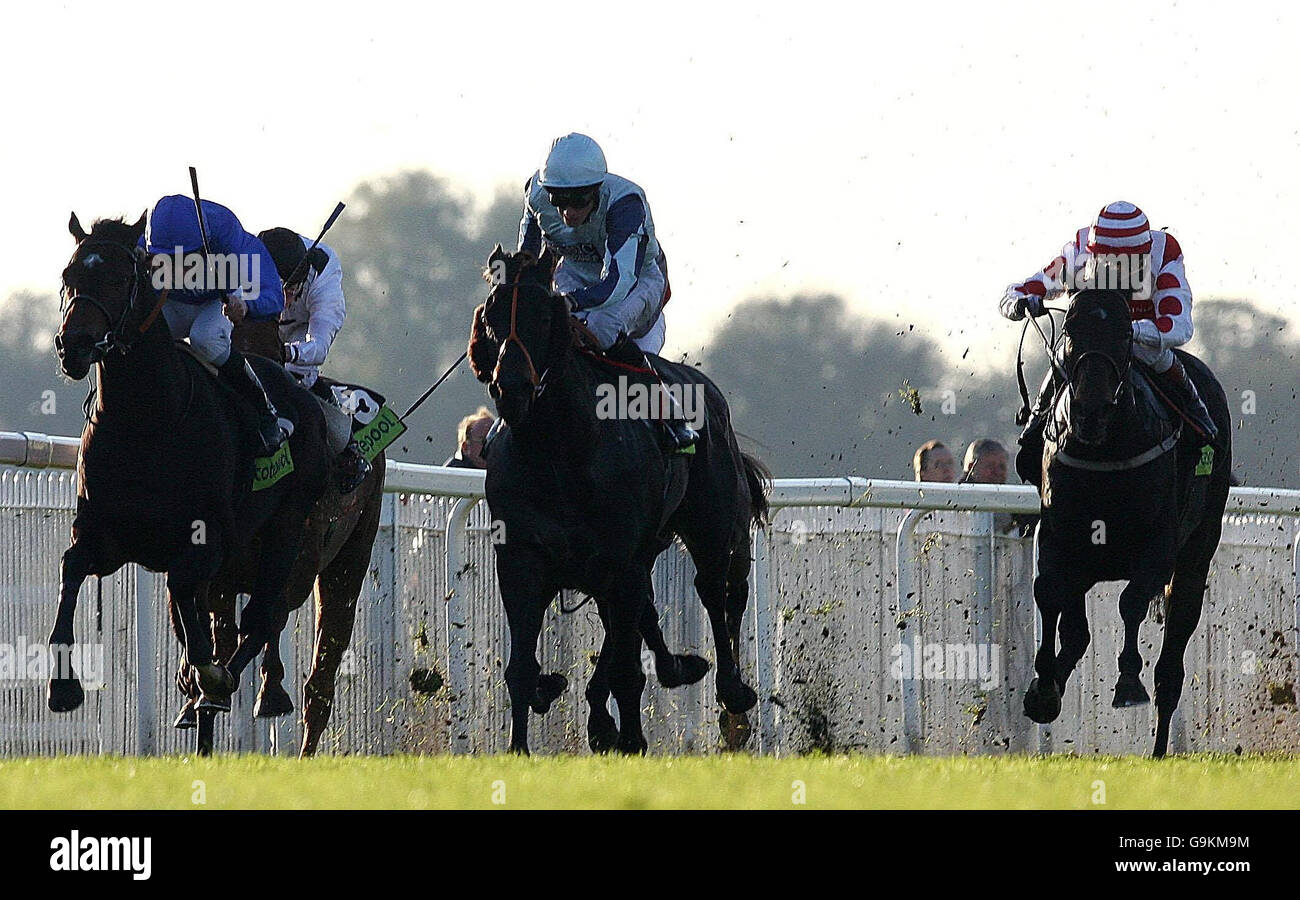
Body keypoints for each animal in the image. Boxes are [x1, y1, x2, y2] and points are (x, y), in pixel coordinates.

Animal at [53, 213, 330, 754]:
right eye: (69, 277)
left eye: (119, 278)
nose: (72, 345)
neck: (144, 422)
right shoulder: (102, 536)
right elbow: (72, 569)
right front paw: (63, 688)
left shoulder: (210, 538)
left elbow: (188, 594)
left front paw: (209, 675)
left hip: (287, 526)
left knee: (262, 616)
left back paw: (221, 686)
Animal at [470, 245, 764, 754]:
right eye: (490, 315)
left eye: (542, 315)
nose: (511, 389)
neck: (562, 449)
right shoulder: (522, 558)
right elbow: (523, 667)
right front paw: (520, 746)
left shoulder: (621, 559)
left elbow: (628, 666)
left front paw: (632, 739)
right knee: (637, 618)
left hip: (711, 526)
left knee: (715, 589)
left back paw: (731, 692)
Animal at [1024, 288, 1227, 754]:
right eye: (1071, 329)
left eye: (1121, 334)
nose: (1090, 411)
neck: (1103, 449)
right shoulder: (1057, 537)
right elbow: (1048, 593)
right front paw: (1042, 689)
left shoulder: (1159, 547)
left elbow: (1131, 602)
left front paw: (1129, 682)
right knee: (1077, 634)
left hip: (1197, 555)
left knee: (1170, 669)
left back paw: (1159, 749)